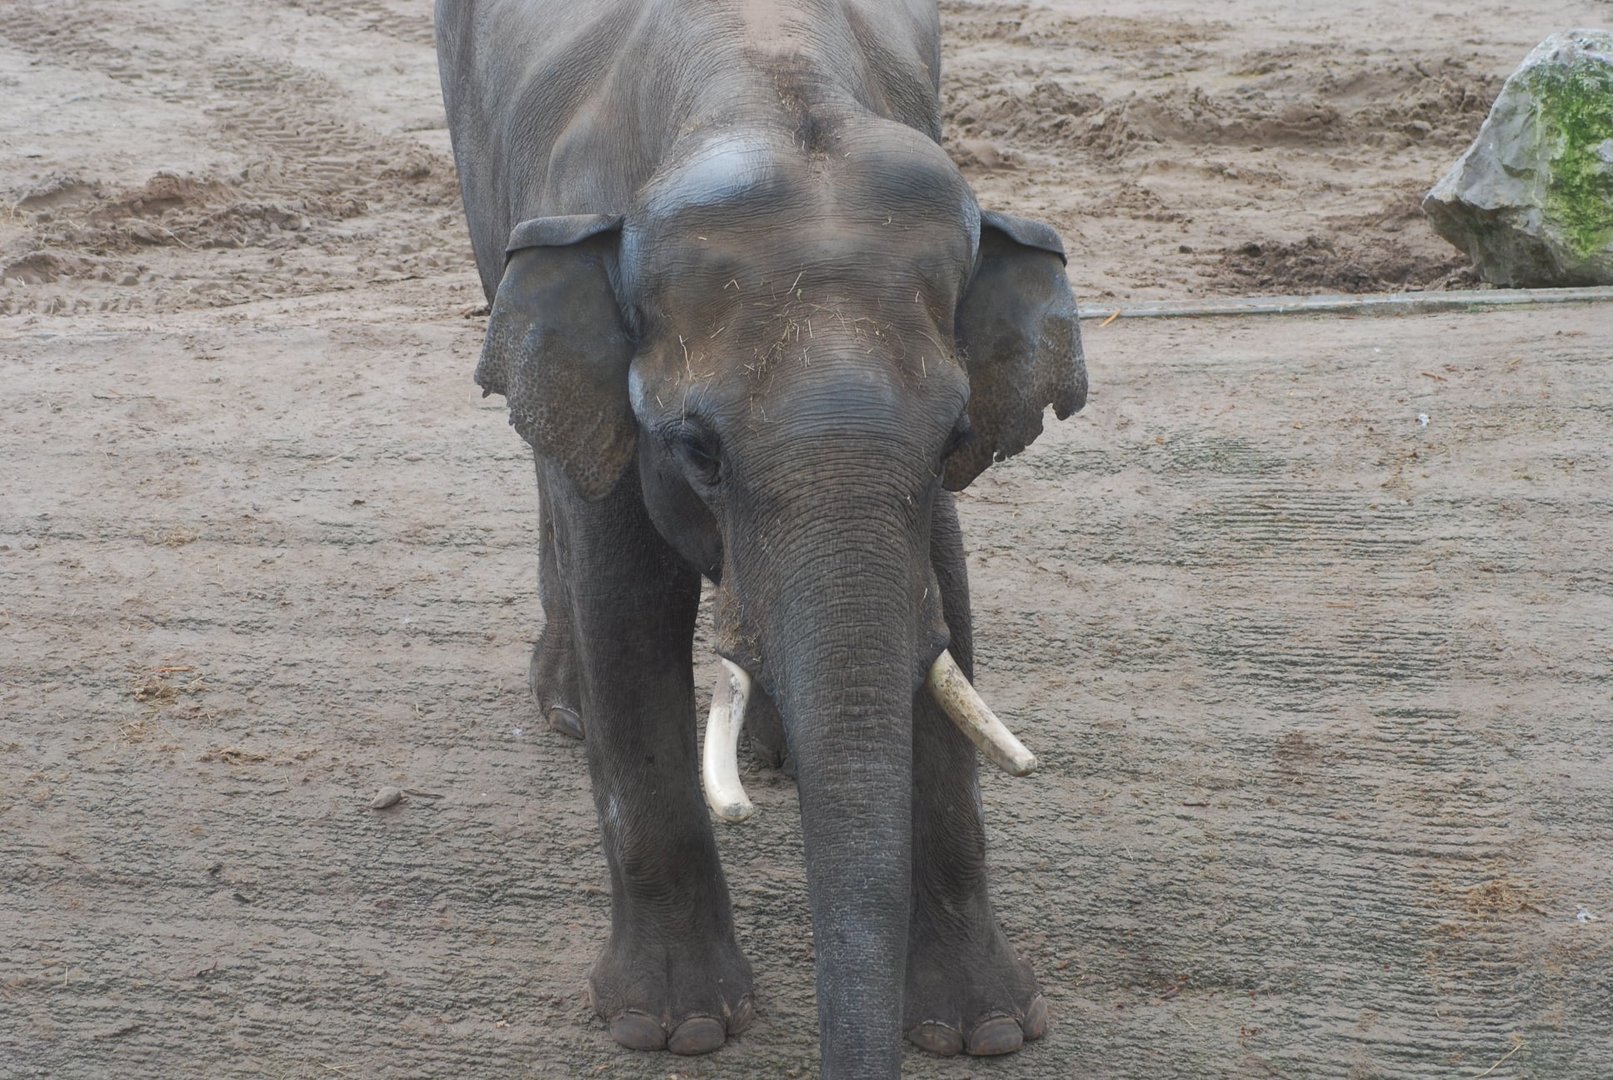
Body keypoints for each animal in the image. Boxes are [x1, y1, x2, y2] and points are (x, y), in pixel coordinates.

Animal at [434, 1, 1087, 1076]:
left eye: (956, 436)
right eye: (697, 447)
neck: (766, 92)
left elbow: (942, 604)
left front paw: (984, 1030)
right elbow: (626, 606)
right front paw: (677, 1029)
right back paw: (567, 706)